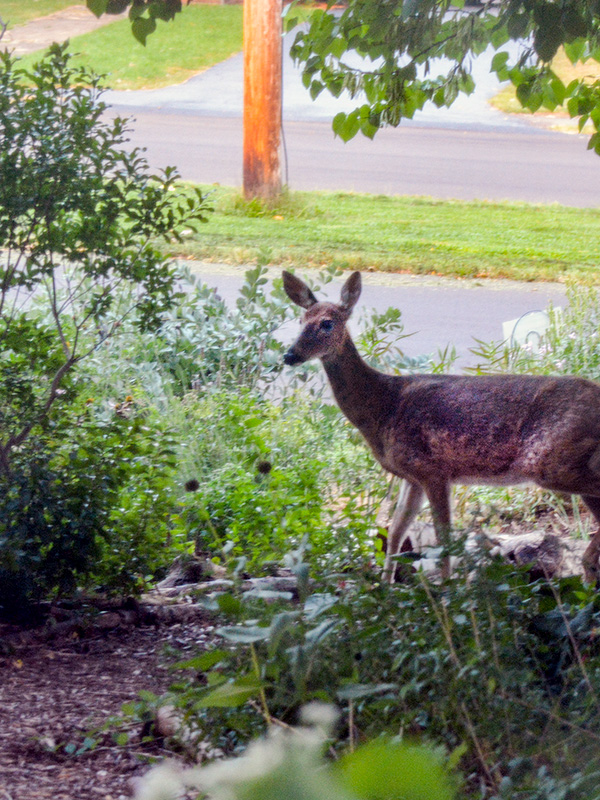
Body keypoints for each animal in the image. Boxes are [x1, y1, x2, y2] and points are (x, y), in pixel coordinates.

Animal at [282, 272, 600, 584]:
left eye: (327, 323)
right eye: (300, 320)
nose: (289, 355)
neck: (384, 405)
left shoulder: (433, 469)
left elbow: (443, 538)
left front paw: (447, 589)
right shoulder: (411, 476)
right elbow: (395, 530)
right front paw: (385, 586)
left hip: (554, 460)